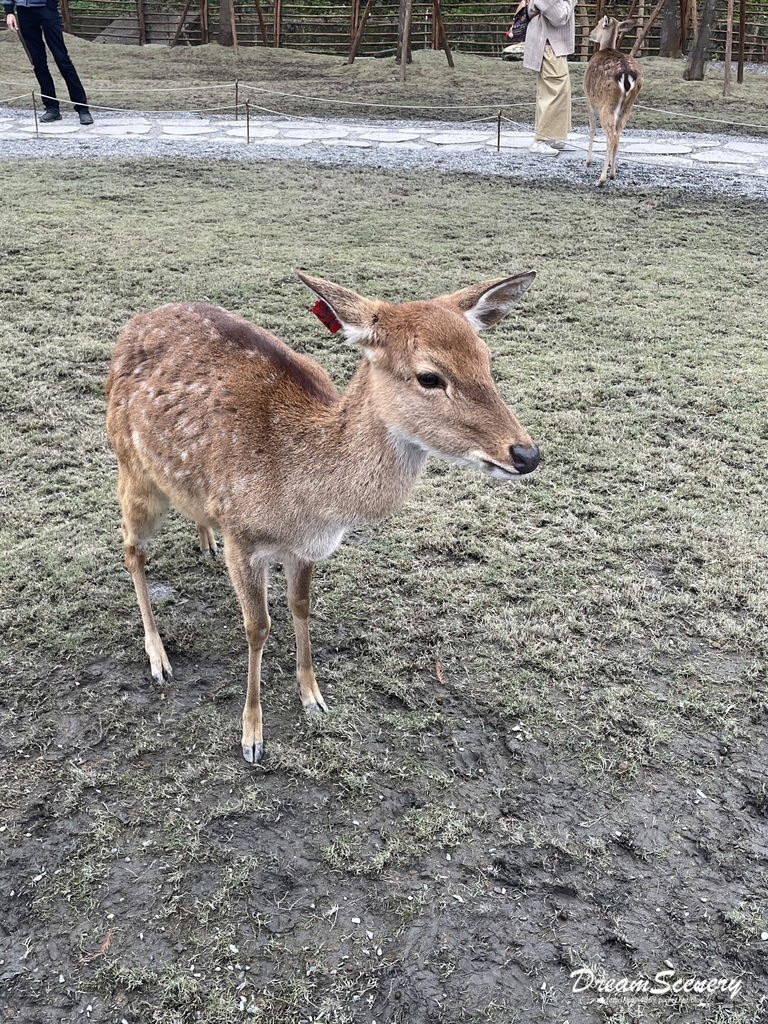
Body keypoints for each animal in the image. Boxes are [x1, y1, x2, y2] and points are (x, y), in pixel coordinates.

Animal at [105, 272, 540, 761]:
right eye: (429, 376)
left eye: (486, 358)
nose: (527, 454)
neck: (307, 503)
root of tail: (133, 325)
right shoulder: (243, 537)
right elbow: (257, 627)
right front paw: (252, 736)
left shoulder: (307, 548)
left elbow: (301, 606)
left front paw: (313, 696)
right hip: (132, 469)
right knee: (130, 548)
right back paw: (158, 658)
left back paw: (205, 541)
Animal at [585, 16, 647, 188]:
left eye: (599, 24)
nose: (591, 34)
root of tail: (626, 75)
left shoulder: (590, 100)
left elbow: (592, 128)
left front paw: (587, 161)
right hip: (628, 105)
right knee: (618, 134)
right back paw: (612, 173)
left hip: (606, 103)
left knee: (611, 135)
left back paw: (601, 179)